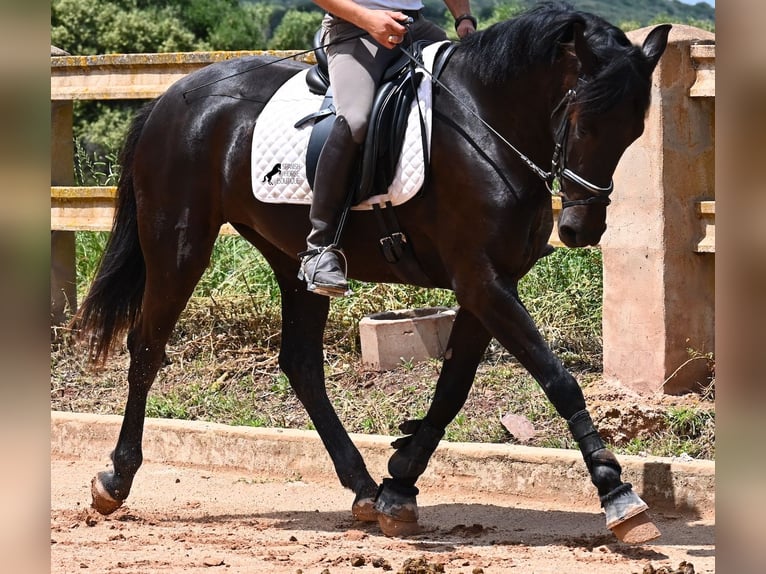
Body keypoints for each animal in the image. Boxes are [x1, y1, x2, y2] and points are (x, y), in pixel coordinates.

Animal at [71, 2, 670, 543]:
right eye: (582, 120)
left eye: (633, 131)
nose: (580, 229)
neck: (484, 124)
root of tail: (171, 98)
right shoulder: (482, 280)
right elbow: (557, 378)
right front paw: (618, 494)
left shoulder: (487, 284)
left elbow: (452, 388)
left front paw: (399, 485)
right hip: (179, 246)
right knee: (148, 347)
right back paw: (115, 479)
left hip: (291, 259)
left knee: (301, 363)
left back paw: (361, 486)